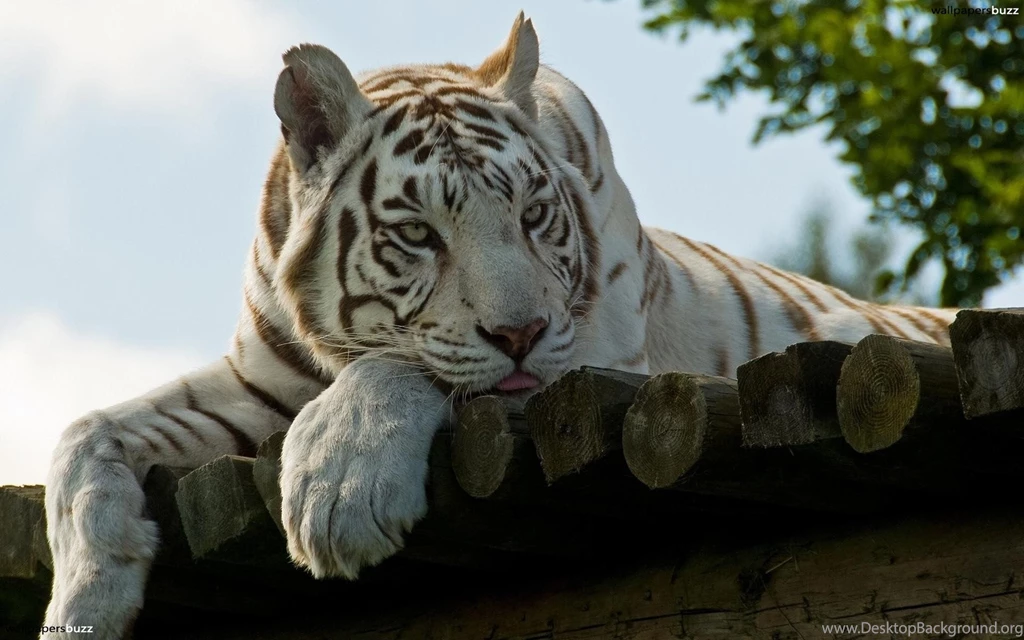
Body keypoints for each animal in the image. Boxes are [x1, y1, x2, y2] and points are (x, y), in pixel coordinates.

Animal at [42, 13, 958, 639]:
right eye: (419, 234)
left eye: (532, 215)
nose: (519, 333)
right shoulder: (254, 383)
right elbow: (84, 432)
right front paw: (85, 596)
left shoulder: (591, 357)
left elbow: (409, 365)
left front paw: (338, 491)